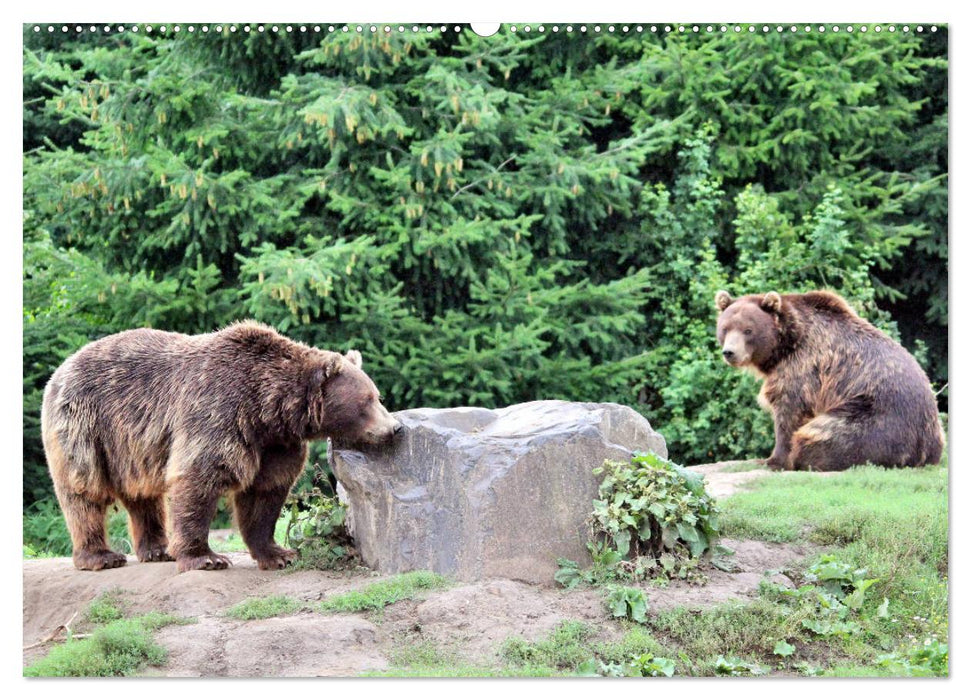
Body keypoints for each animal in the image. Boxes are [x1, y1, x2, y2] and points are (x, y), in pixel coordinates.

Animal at [39, 320, 400, 572]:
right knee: (83, 491)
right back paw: (101, 556)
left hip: (130, 447)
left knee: (142, 496)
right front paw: (206, 557)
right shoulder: (217, 412)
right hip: (86, 425)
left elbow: (264, 495)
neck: (268, 409)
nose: (393, 428)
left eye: (377, 395)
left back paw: (157, 549)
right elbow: (198, 479)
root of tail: (59, 370)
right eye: (368, 400)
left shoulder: (275, 444)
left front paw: (280, 554)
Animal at [712, 288, 940, 474]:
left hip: (877, 415)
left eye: (748, 330)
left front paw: (773, 460)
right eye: (725, 328)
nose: (729, 352)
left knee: (826, 432)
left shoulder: (804, 367)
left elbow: (789, 411)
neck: (785, 346)